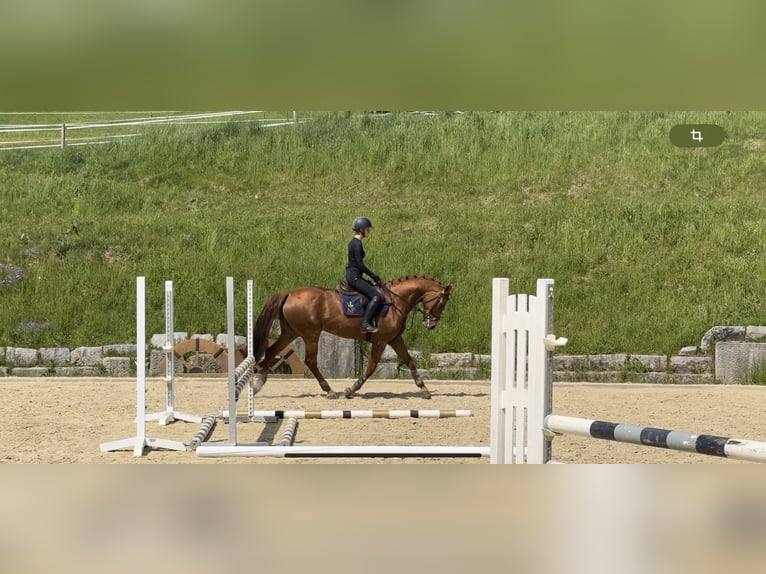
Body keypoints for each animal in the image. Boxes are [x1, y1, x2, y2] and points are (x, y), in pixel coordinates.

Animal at [252, 276, 452, 398]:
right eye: (441, 302)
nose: (430, 325)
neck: (396, 302)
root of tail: (289, 293)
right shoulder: (380, 341)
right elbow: (371, 367)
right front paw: (351, 389)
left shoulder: (394, 339)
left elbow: (409, 361)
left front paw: (424, 388)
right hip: (311, 334)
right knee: (310, 361)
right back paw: (329, 390)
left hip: (291, 332)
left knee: (272, 351)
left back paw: (258, 385)